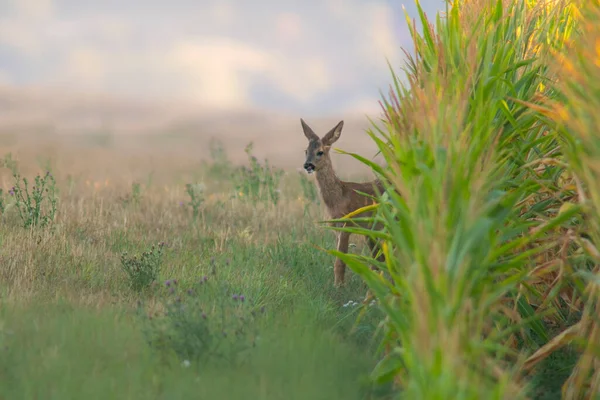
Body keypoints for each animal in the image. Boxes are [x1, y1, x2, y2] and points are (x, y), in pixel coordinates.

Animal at [298, 119, 384, 288]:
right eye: (306, 150)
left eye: (320, 152)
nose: (308, 165)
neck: (338, 198)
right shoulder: (335, 227)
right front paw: (338, 284)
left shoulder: (346, 223)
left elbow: (341, 260)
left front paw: (338, 286)